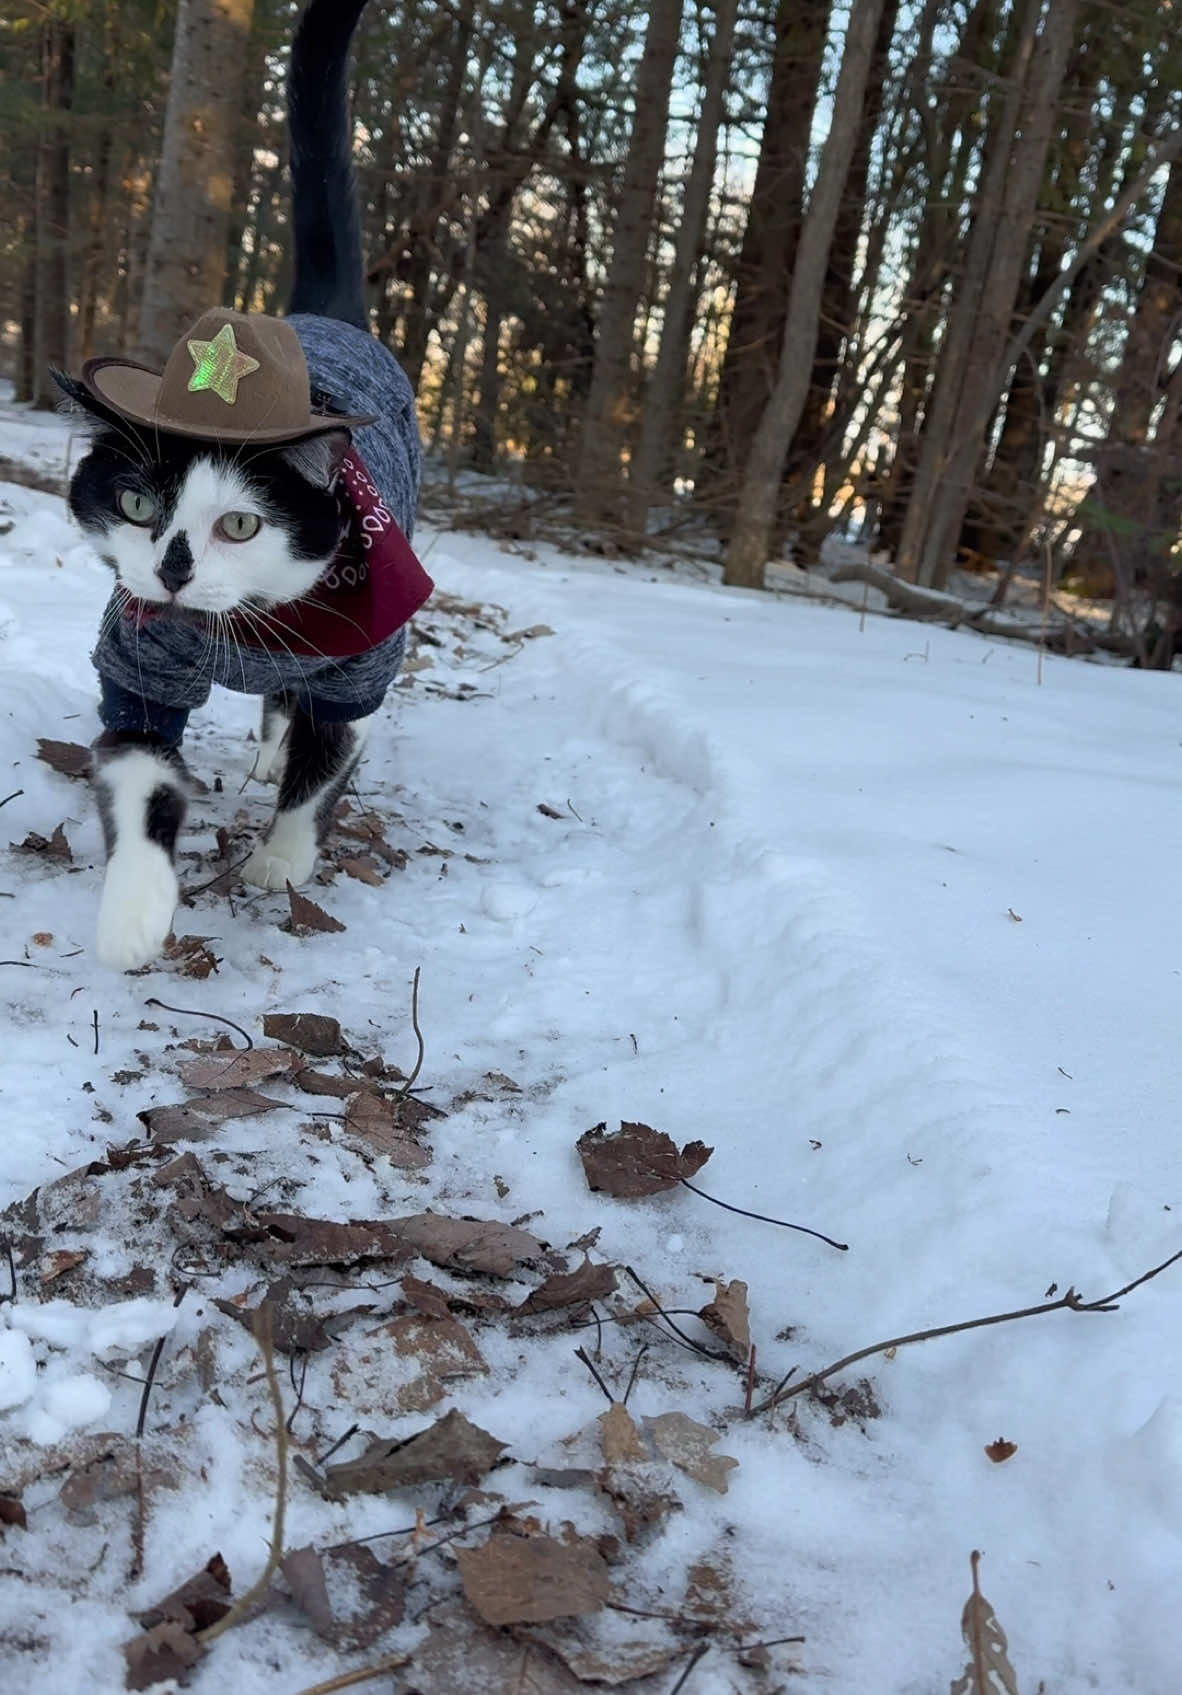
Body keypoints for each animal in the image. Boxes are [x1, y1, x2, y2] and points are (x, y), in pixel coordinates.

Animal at [54, 0, 434, 969]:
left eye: (240, 525)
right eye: (137, 504)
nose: (173, 569)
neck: (245, 626)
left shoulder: (364, 652)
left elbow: (330, 754)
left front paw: (282, 861)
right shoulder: (138, 659)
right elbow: (141, 768)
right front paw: (134, 912)